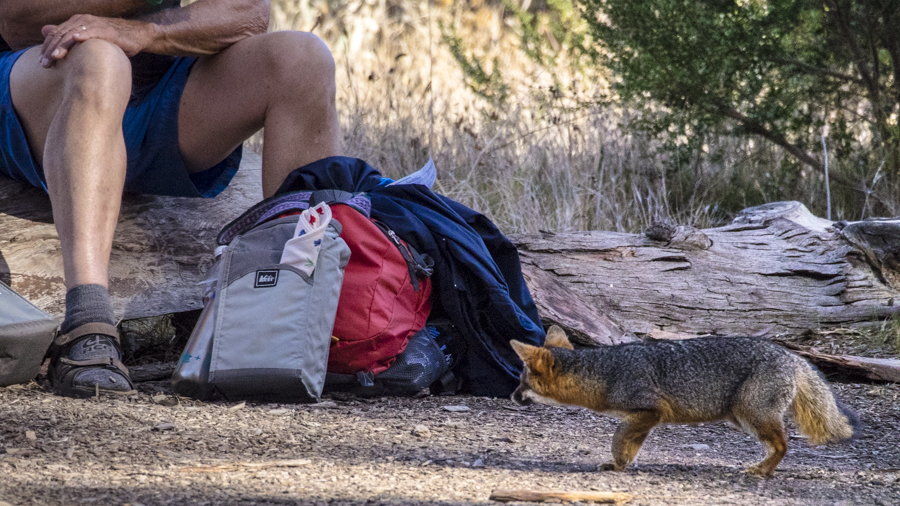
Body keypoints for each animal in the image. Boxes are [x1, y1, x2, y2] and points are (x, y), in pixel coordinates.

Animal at [510, 326, 860, 477]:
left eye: (522, 382)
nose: (512, 396)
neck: (606, 373)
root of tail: (791, 355)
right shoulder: (644, 417)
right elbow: (630, 444)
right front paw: (623, 464)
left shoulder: (650, 410)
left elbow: (619, 437)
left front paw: (617, 463)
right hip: (741, 417)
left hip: (751, 415)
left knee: (784, 444)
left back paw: (761, 470)